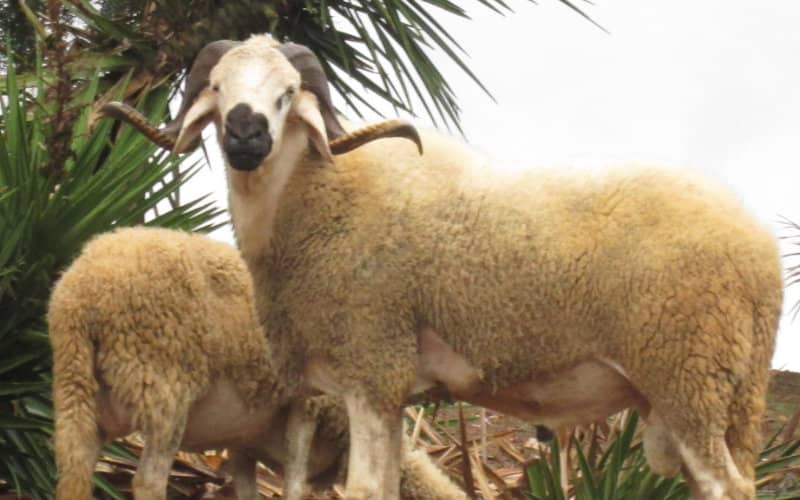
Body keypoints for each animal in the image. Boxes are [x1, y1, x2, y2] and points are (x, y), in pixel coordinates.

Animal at [48, 226, 466, 500]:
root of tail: (80, 293)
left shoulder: (243, 441)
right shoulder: (308, 407)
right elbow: (295, 487)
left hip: (76, 392)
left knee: (74, 471)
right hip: (164, 387)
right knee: (148, 482)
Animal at [101, 34, 783, 500]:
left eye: (287, 94)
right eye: (217, 88)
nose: (246, 136)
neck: (317, 195)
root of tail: (759, 248)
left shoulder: (371, 361)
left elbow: (364, 490)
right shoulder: (392, 386)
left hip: (687, 372)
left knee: (725, 488)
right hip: (729, 389)